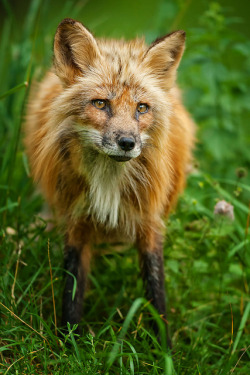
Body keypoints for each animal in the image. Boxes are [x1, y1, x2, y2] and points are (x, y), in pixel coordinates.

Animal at [23, 17, 195, 346]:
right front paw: (69, 345)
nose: (127, 142)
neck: (108, 182)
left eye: (142, 108)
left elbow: (157, 295)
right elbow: (72, 291)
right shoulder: (75, 220)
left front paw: (164, 349)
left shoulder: (149, 221)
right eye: (101, 104)